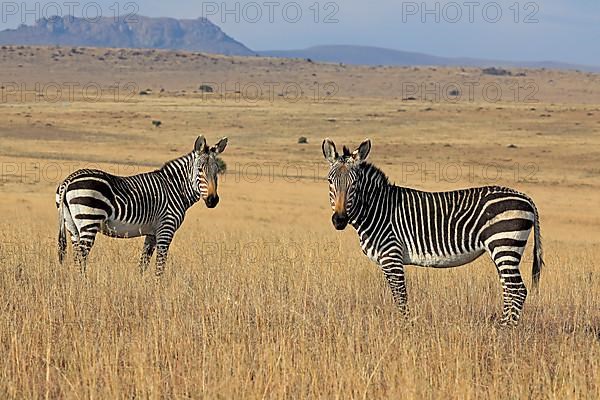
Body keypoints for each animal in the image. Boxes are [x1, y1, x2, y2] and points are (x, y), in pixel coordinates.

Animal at [55, 136, 229, 276]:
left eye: (217, 170)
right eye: (199, 170)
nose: (213, 200)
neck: (174, 188)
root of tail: (68, 180)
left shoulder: (152, 233)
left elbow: (143, 263)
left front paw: (142, 286)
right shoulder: (166, 229)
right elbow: (160, 266)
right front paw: (158, 290)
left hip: (72, 226)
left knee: (77, 256)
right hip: (89, 221)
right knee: (82, 257)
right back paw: (84, 286)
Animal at [324, 138, 544, 324]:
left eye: (354, 184)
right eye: (329, 181)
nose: (339, 220)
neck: (378, 209)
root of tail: (526, 197)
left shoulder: (391, 256)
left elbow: (401, 297)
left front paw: (406, 328)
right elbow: (398, 296)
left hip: (504, 244)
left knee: (517, 290)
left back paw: (505, 331)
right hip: (503, 250)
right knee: (509, 290)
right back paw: (501, 326)